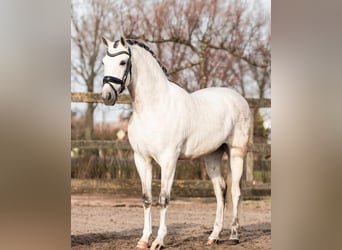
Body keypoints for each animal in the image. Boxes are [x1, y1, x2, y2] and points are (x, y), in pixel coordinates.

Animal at [100, 36, 250, 249]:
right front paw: (144, 240)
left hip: (236, 152)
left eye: (122, 62)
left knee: (235, 192)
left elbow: (164, 199)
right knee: (220, 191)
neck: (154, 107)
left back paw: (234, 236)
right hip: (212, 156)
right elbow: (147, 199)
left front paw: (158, 241)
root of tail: (238, 98)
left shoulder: (168, 161)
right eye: (104, 62)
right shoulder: (142, 159)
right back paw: (213, 236)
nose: (107, 96)